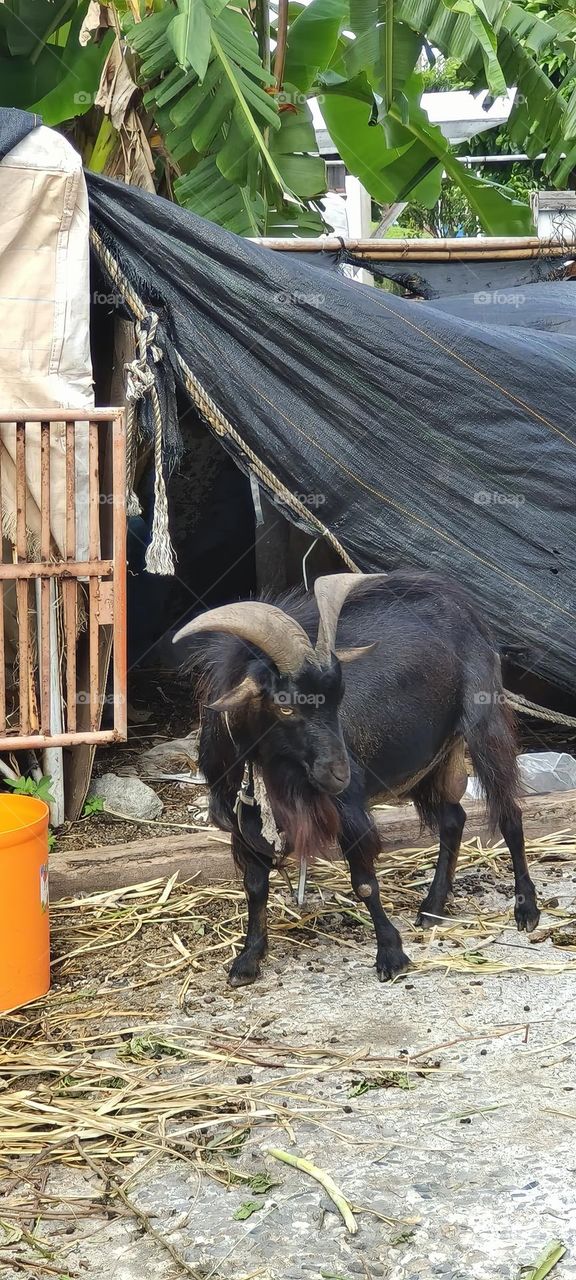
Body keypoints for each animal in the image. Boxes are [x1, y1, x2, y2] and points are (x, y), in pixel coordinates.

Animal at [174, 571, 539, 986]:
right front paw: (247, 959)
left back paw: (526, 910)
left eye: (338, 696)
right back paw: (432, 907)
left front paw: (391, 955)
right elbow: (254, 886)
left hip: (484, 724)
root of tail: (458, 601)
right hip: (429, 756)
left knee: (509, 813)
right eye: (284, 705)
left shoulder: (349, 812)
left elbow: (364, 882)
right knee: (453, 819)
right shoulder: (241, 823)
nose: (340, 774)